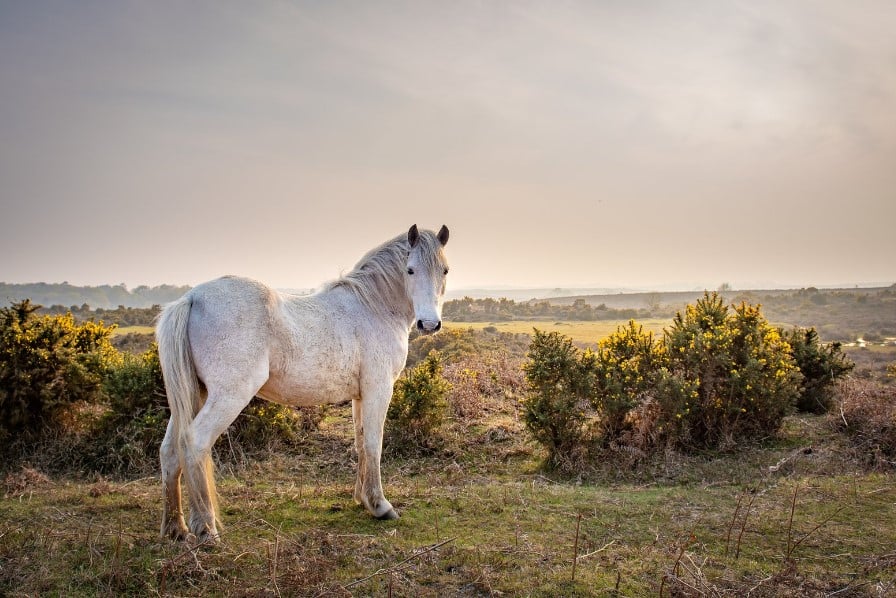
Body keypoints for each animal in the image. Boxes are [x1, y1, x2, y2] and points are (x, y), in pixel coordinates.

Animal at [156, 225, 448, 544]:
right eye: (410, 270)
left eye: (444, 270)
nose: (429, 325)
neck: (373, 307)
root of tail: (191, 298)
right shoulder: (378, 389)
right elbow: (374, 443)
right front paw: (380, 506)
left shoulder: (360, 396)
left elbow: (360, 443)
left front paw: (363, 499)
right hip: (228, 396)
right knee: (194, 442)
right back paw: (206, 529)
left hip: (193, 395)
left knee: (170, 451)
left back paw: (175, 528)